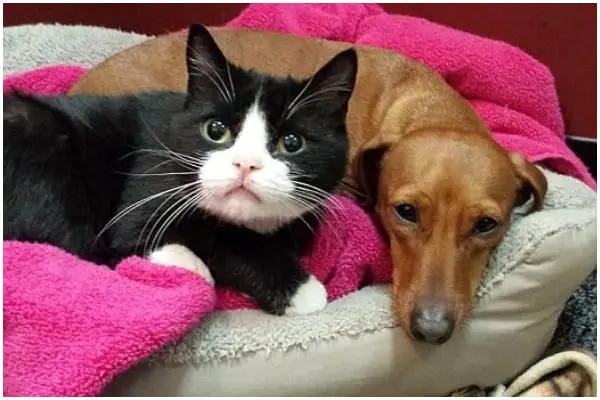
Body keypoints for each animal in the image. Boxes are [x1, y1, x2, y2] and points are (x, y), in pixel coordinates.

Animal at [3, 24, 356, 316]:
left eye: (292, 142)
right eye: (216, 130)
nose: (246, 163)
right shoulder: (148, 180)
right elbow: (194, 236)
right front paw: (299, 289)